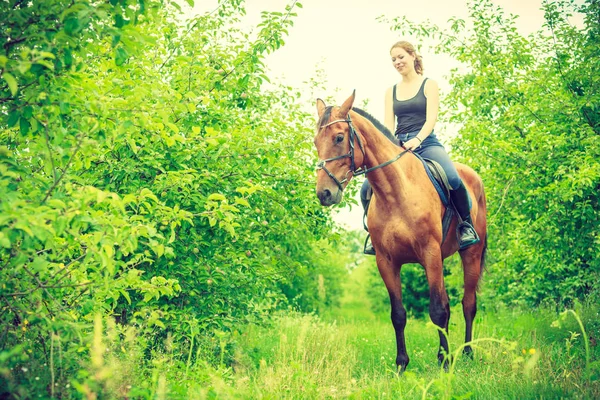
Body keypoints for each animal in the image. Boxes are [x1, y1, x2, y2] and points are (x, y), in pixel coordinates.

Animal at [314, 92, 488, 370]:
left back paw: (467, 353)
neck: (396, 191)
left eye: (339, 138)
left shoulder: (430, 255)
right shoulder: (386, 261)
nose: (324, 193)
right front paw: (401, 364)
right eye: (315, 141)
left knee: (468, 304)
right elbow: (398, 314)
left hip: (471, 253)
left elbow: (437, 310)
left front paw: (444, 362)